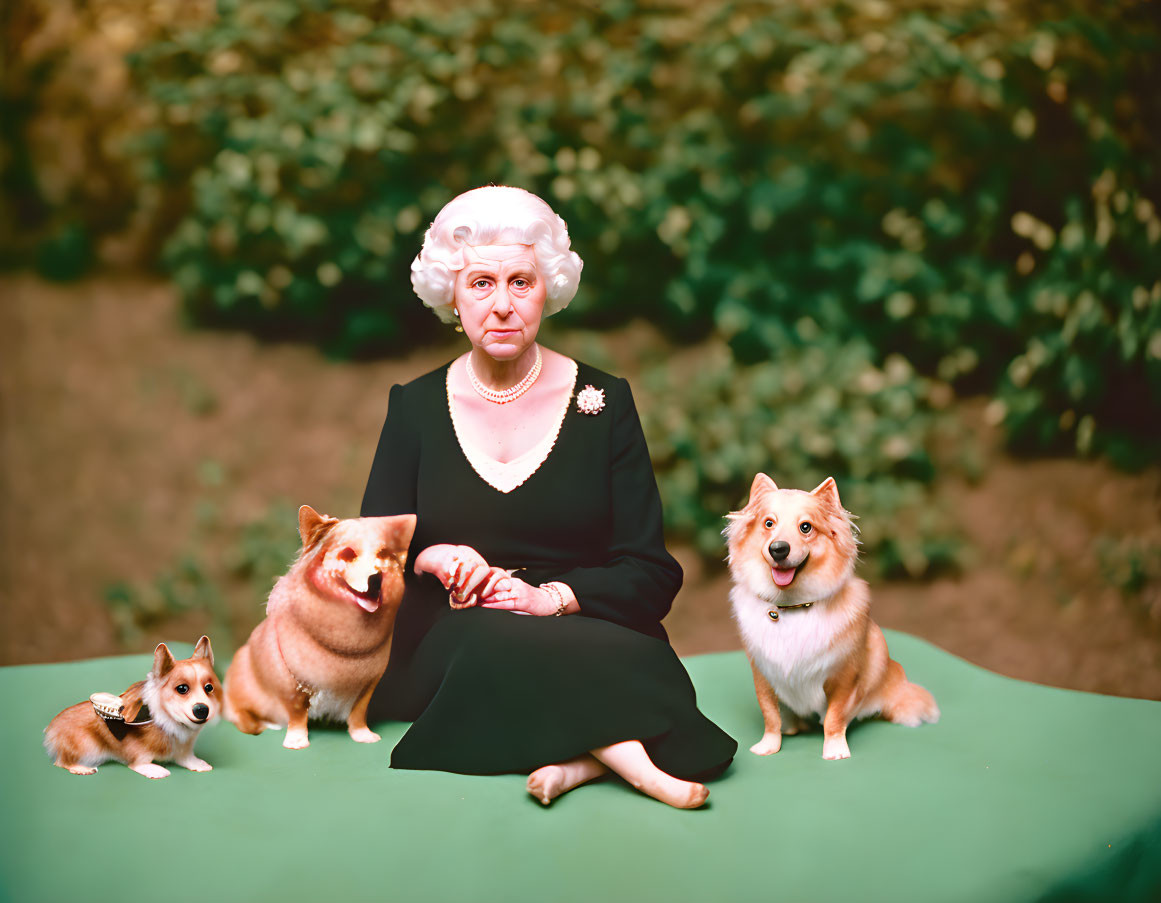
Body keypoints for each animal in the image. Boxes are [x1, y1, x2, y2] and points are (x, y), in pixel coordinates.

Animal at [43, 631, 221, 775]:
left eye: (209, 687)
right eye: (182, 688)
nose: (202, 710)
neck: (168, 718)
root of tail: (51, 729)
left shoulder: (183, 750)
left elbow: (187, 759)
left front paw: (199, 765)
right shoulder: (137, 751)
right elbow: (139, 763)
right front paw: (156, 771)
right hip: (86, 746)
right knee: (61, 762)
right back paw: (82, 768)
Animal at [224, 503, 415, 747]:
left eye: (383, 555)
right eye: (348, 554)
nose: (376, 578)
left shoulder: (368, 686)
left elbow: (358, 714)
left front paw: (363, 735)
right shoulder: (290, 684)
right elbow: (297, 712)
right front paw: (297, 740)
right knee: (241, 715)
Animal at [729, 471, 938, 761]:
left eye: (805, 527)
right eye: (768, 523)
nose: (778, 548)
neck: (792, 607)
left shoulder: (843, 679)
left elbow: (834, 718)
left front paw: (835, 749)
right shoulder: (764, 676)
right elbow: (770, 716)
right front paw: (769, 745)